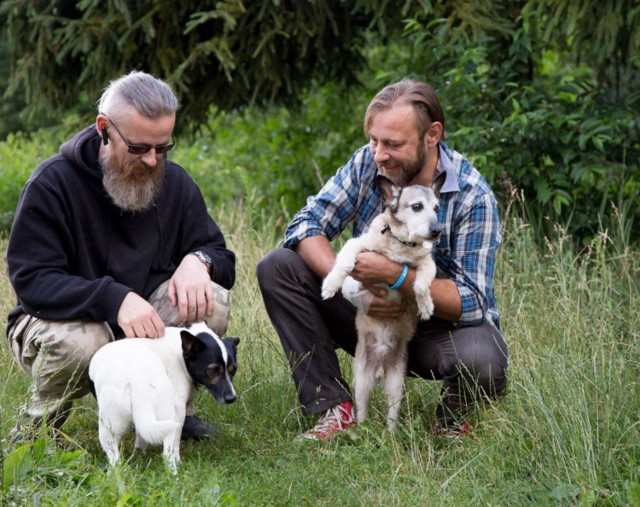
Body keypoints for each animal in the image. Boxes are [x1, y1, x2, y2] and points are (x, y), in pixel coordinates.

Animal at [88, 324, 240, 474]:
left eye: (233, 370)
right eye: (213, 370)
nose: (231, 398)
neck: (181, 352)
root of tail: (136, 374)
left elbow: (141, 435)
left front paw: (139, 453)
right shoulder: (179, 408)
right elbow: (176, 442)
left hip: (110, 424)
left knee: (115, 457)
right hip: (166, 414)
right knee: (168, 452)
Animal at [322, 174, 442, 432]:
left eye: (437, 208)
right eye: (417, 206)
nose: (437, 230)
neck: (402, 244)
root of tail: (380, 364)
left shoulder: (427, 263)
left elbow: (422, 283)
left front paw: (425, 305)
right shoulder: (359, 245)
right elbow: (345, 261)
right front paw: (331, 284)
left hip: (396, 383)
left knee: (392, 414)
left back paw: (390, 435)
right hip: (361, 379)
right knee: (362, 409)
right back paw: (361, 430)